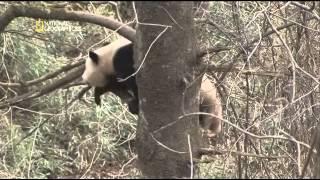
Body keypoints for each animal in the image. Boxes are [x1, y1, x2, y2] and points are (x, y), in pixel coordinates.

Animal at [80, 37, 222, 137]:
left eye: (87, 68)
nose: (83, 77)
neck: (109, 53)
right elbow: (117, 84)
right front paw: (98, 94)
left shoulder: (124, 60)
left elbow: (132, 80)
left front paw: (135, 105)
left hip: (206, 100)